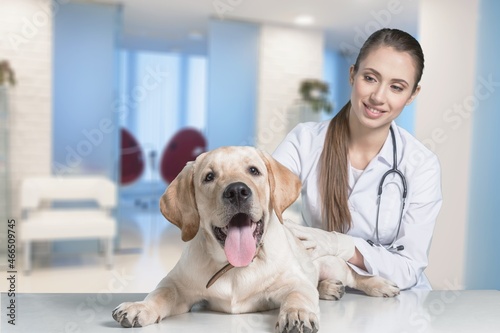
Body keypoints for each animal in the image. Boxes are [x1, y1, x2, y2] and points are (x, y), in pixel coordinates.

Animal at [112, 146, 398, 332]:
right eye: (209, 177)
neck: (234, 268)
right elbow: (161, 293)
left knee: (354, 276)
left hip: (331, 262)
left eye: (254, 171)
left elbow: (298, 294)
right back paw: (329, 288)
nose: (237, 191)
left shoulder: (292, 282)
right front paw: (140, 306)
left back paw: (378, 285)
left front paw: (297, 314)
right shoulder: (179, 285)